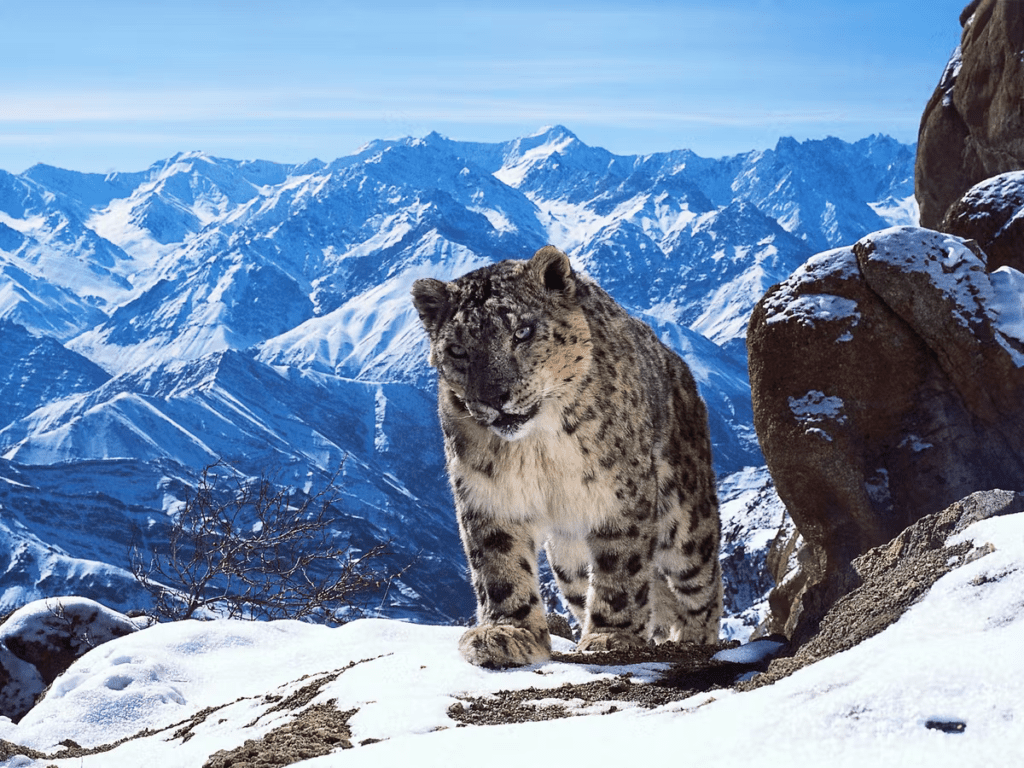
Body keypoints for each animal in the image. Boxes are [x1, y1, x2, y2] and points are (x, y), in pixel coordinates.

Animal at [411, 244, 721, 668]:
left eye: (522, 332)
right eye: (457, 350)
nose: (494, 398)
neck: (537, 447)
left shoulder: (618, 495)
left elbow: (621, 565)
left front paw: (610, 637)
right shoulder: (488, 496)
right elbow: (499, 566)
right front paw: (508, 633)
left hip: (686, 520)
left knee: (701, 585)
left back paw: (693, 639)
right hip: (568, 563)